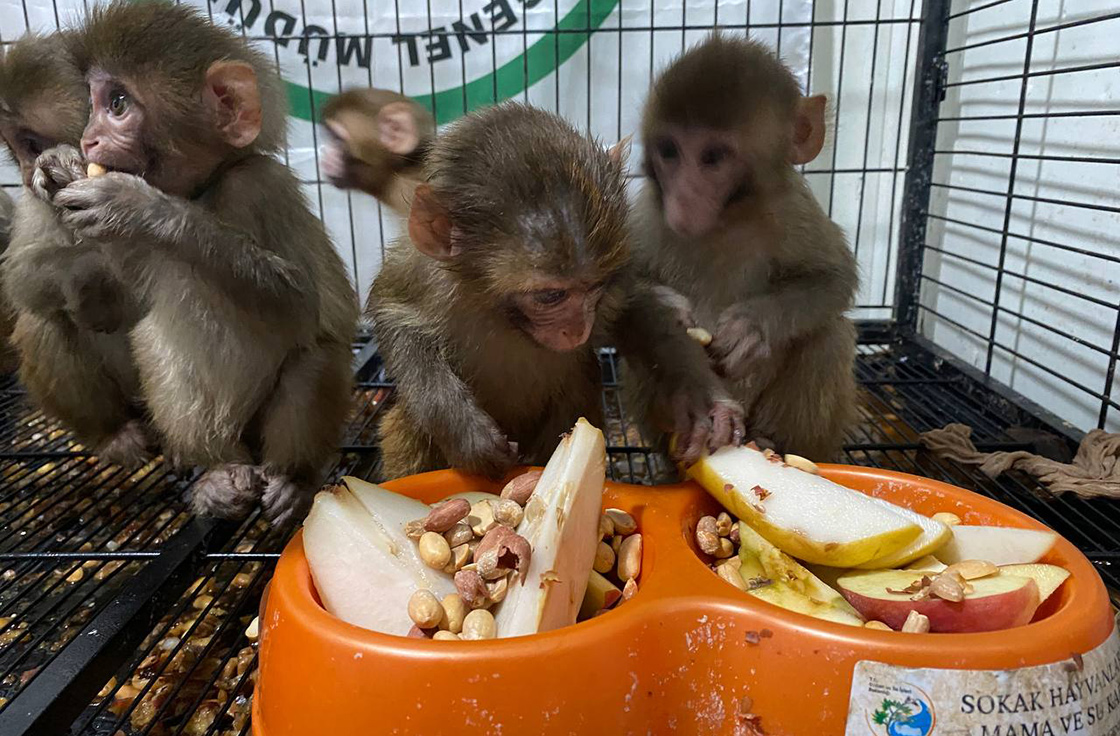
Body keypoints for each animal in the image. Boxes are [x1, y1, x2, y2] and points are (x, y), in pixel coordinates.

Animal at [33, 2, 358, 524]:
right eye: (92, 104)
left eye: (117, 103)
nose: (88, 141)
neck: (204, 190)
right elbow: (113, 314)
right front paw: (57, 164)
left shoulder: (259, 187)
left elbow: (299, 303)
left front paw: (140, 208)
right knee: (157, 346)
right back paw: (217, 476)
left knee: (314, 357)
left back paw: (293, 480)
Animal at [365, 101, 743, 481]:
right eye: (551, 296)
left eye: (595, 287)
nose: (578, 330)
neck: (500, 314)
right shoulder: (420, 275)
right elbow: (394, 316)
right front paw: (464, 430)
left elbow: (636, 311)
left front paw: (699, 398)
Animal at [631, 35, 855, 459]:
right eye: (668, 150)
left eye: (713, 157)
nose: (683, 199)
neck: (726, 220)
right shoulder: (649, 213)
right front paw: (666, 306)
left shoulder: (793, 208)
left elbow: (833, 279)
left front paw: (753, 327)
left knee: (830, 335)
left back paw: (771, 441)